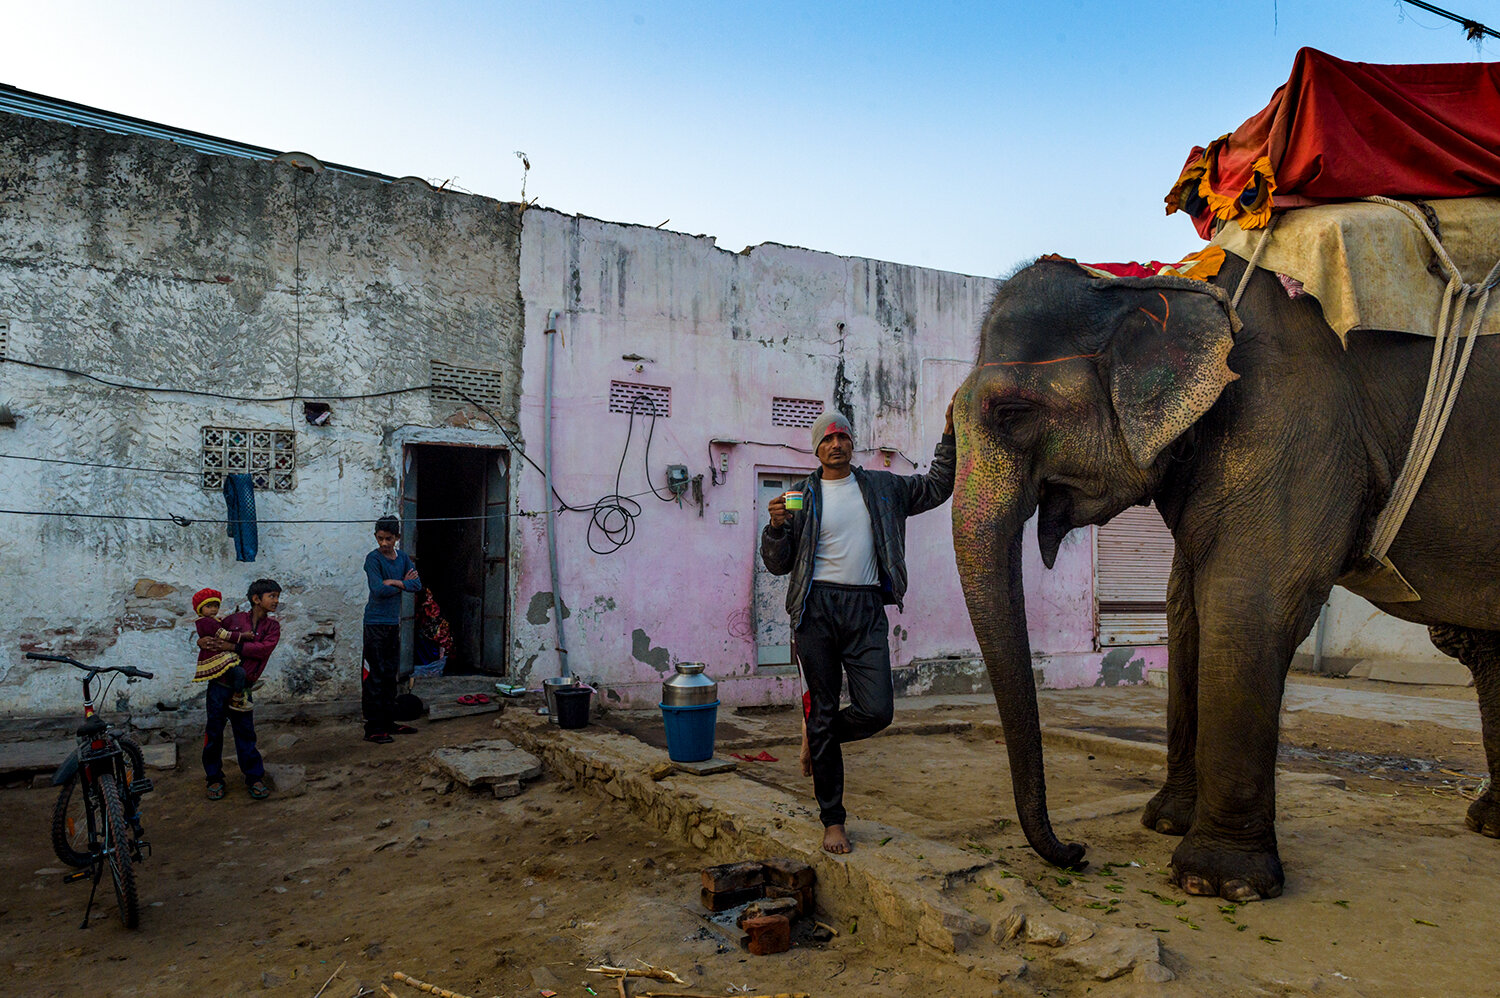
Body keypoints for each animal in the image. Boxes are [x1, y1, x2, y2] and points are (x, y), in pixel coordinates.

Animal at [948, 250, 1500, 900]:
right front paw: (1165, 822)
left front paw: (1218, 883)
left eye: (1013, 413)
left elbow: (1246, 604)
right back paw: (1489, 824)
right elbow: (1185, 609)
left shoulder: (1293, 418)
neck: (1160, 287)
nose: (1076, 853)